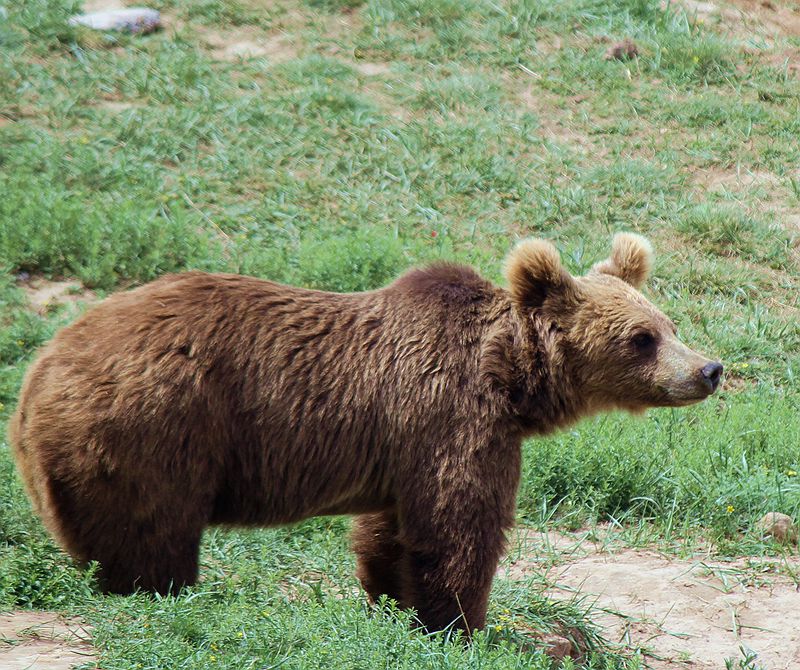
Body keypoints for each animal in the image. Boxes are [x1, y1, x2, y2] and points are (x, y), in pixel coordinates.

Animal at [7, 235, 720, 636]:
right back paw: (162, 595)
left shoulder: (404, 447)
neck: (508, 378)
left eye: (669, 324)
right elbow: (459, 531)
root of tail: (38, 375)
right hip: (155, 428)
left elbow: (390, 532)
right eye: (641, 338)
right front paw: (465, 626)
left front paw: (392, 606)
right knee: (154, 539)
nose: (709, 369)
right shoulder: (451, 417)